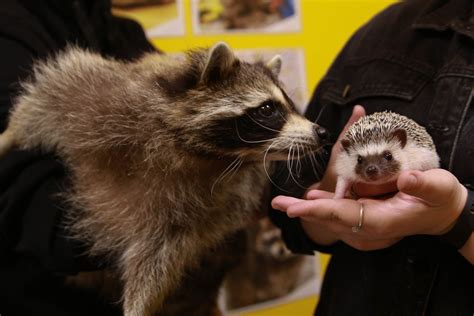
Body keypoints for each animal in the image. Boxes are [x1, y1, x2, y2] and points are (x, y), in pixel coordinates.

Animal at [0, 42, 328, 316]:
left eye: (292, 105)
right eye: (268, 109)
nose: (321, 132)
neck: (205, 154)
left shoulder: (195, 213)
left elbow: (159, 258)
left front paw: (137, 306)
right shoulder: (99, 98)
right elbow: (48, 96)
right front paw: (7, 136)